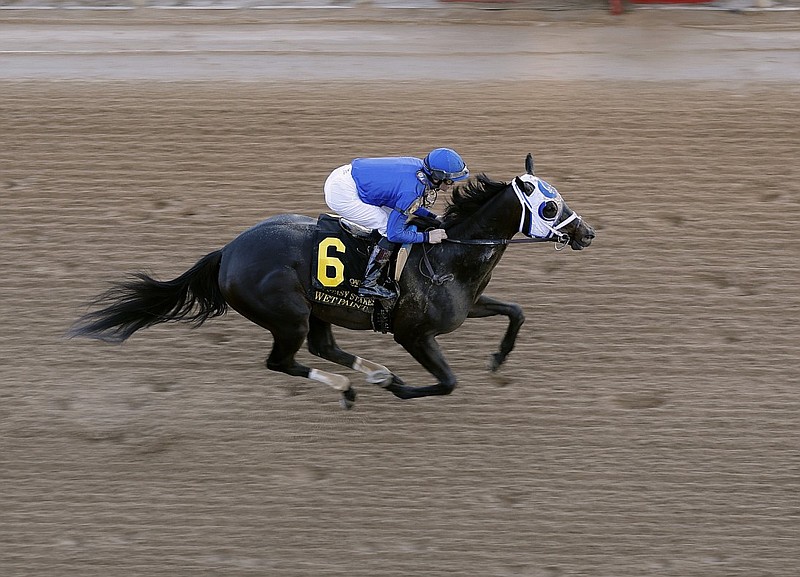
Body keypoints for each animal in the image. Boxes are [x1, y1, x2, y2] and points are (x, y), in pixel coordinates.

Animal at [70, 151, 592, 408]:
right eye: (549, 206)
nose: (586, 233)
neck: (450, 254)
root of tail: (227, 253)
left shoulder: (467, 306)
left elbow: (516, 311)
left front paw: (498, 359)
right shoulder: (413, 333)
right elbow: (447, 383)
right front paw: (402, 389)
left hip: (315, 308)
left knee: (325, 347)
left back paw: (374, 373)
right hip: (288, 315)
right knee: (283, 361)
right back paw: (352, 387)